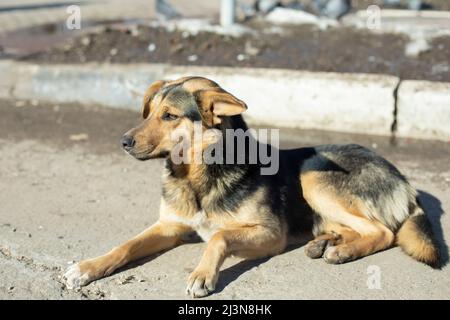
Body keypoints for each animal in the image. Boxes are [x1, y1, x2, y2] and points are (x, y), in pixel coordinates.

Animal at [63, 77, 440, 298]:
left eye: (170, 116)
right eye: (150, 111)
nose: (123, 142)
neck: (198, 175)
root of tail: (403, 179)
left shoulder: (270, 233)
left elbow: (218, 236)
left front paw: (203, 273)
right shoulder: (169, 226)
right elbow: (126, 246)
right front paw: (88, 268)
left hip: (312, 174)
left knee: (383, 231)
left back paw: (343, 250)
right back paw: (326, 242)